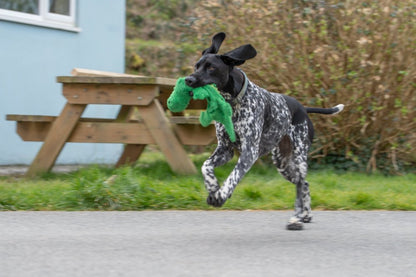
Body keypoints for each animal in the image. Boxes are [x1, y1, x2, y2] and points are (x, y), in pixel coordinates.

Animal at [186, 32, 344, 230]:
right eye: (196, 66)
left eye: (211, 67)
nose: (188, 80)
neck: (234, 103)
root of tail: (303, 108)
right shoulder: (225, 149)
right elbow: (205, 166)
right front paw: (213, 187)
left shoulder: (249, 152)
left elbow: (233, 176)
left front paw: (221, 194)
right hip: (283, 164)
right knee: (304, 184)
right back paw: (305, 215)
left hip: (299, 158)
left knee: (301, 185)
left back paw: (296, 218)